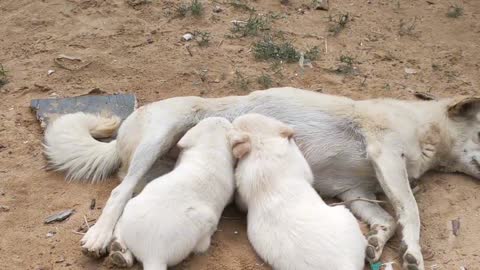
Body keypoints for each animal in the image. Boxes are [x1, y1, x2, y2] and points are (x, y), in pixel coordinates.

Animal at [109, 117, 236, 270]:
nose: (221, 118)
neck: (210, 148)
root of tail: (152, 255)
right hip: (206, 225)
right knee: (202, 246)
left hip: (131, 207)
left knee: (119, 227)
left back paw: (119, 250)